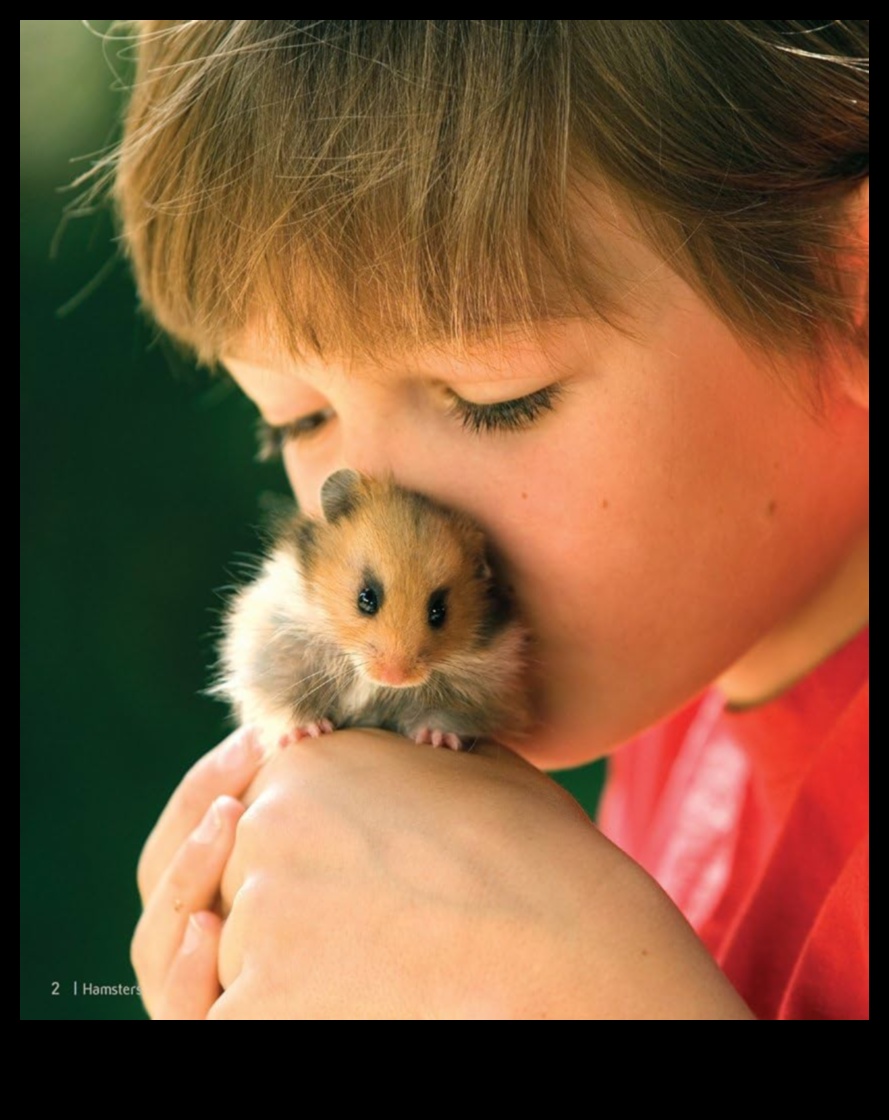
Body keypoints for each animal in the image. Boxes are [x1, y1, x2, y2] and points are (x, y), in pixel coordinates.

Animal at [211, 469, 531, 752]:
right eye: (366, 598)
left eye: (439, 611)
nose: (394, 677)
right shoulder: (275, 654)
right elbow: (284, 702)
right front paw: (308, 730)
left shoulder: (481, 684)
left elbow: (445, 716)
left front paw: (437, 739)